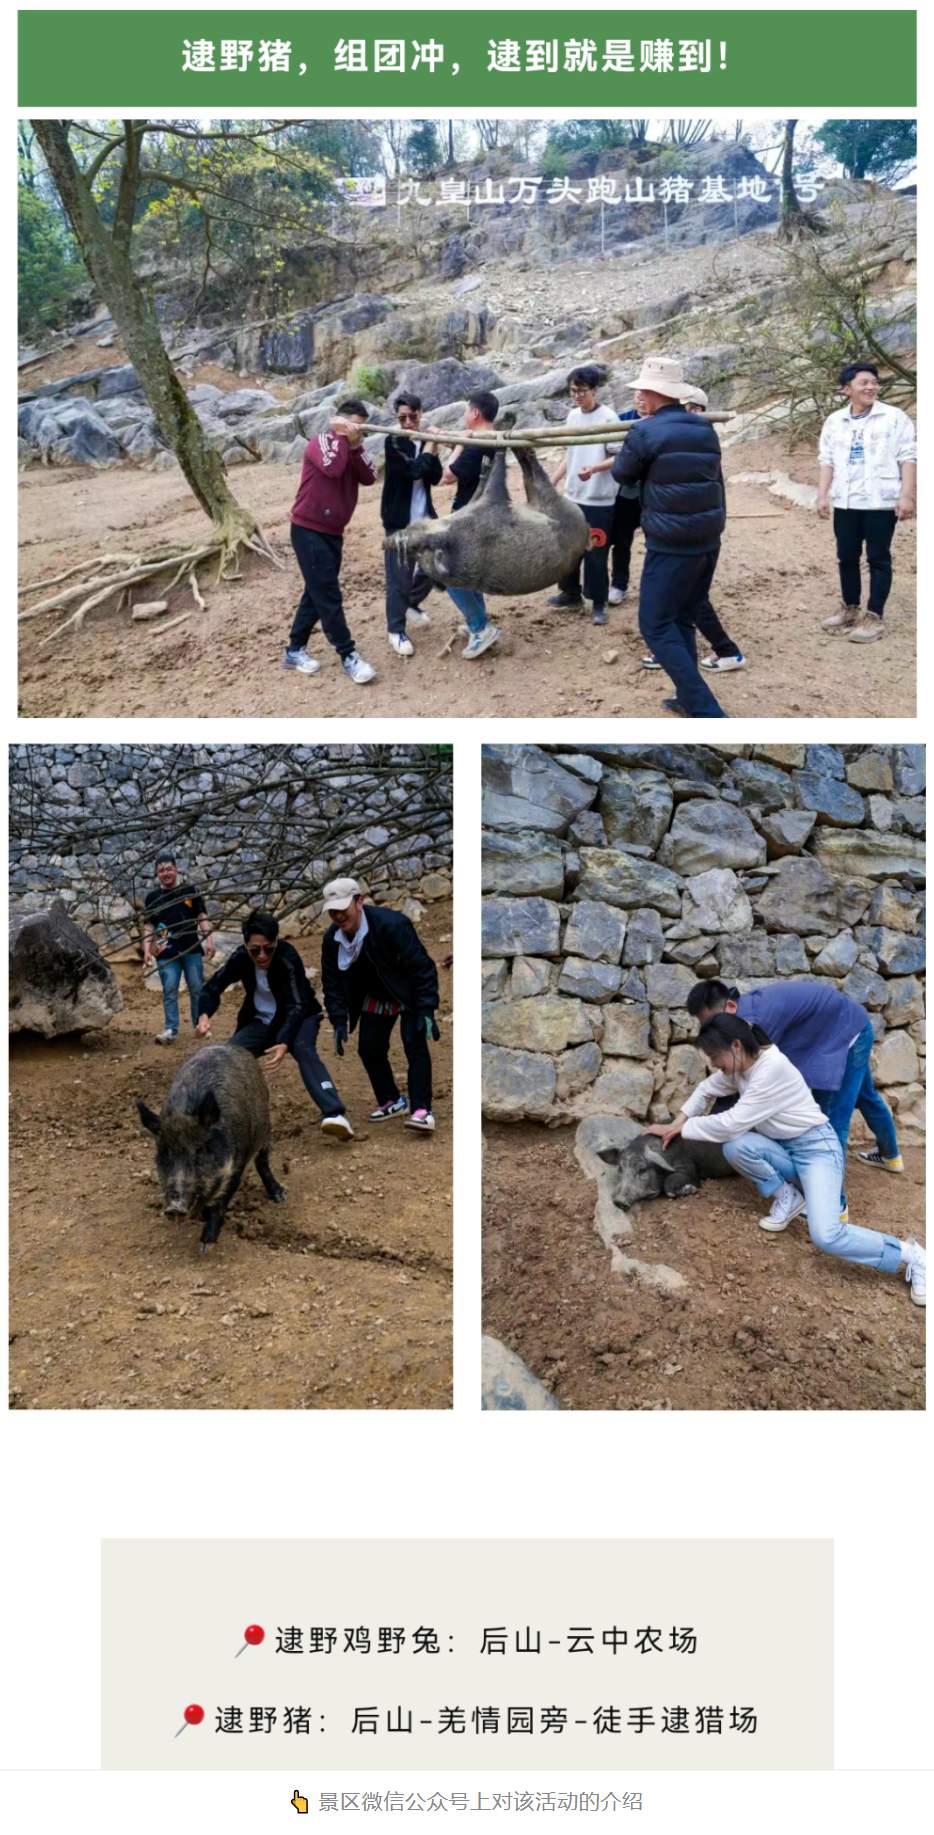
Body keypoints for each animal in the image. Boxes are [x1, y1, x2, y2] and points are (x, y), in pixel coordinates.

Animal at [136, 1049, 284, 1247]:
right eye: (165, 1153)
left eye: (200, 1151)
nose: (174, 1208)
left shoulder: (236, 1166)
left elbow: (219, 1204)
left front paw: (205, 1245)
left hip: (266, 1128)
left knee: (262, 1162)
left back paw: (280, 1197)